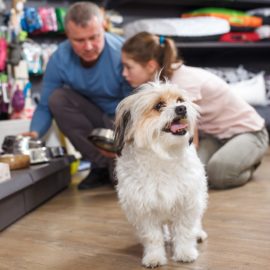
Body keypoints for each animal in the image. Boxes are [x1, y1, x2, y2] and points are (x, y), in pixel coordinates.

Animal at [113, 80, 207, 268]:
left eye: (180, 100)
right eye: (158, 106)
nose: (182, 108)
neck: (163, 155)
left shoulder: (186, 202)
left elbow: (185, 231)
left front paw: (185, 252)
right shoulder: (143, 210)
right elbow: (152, 237)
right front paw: (154, 256)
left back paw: (198, 233)